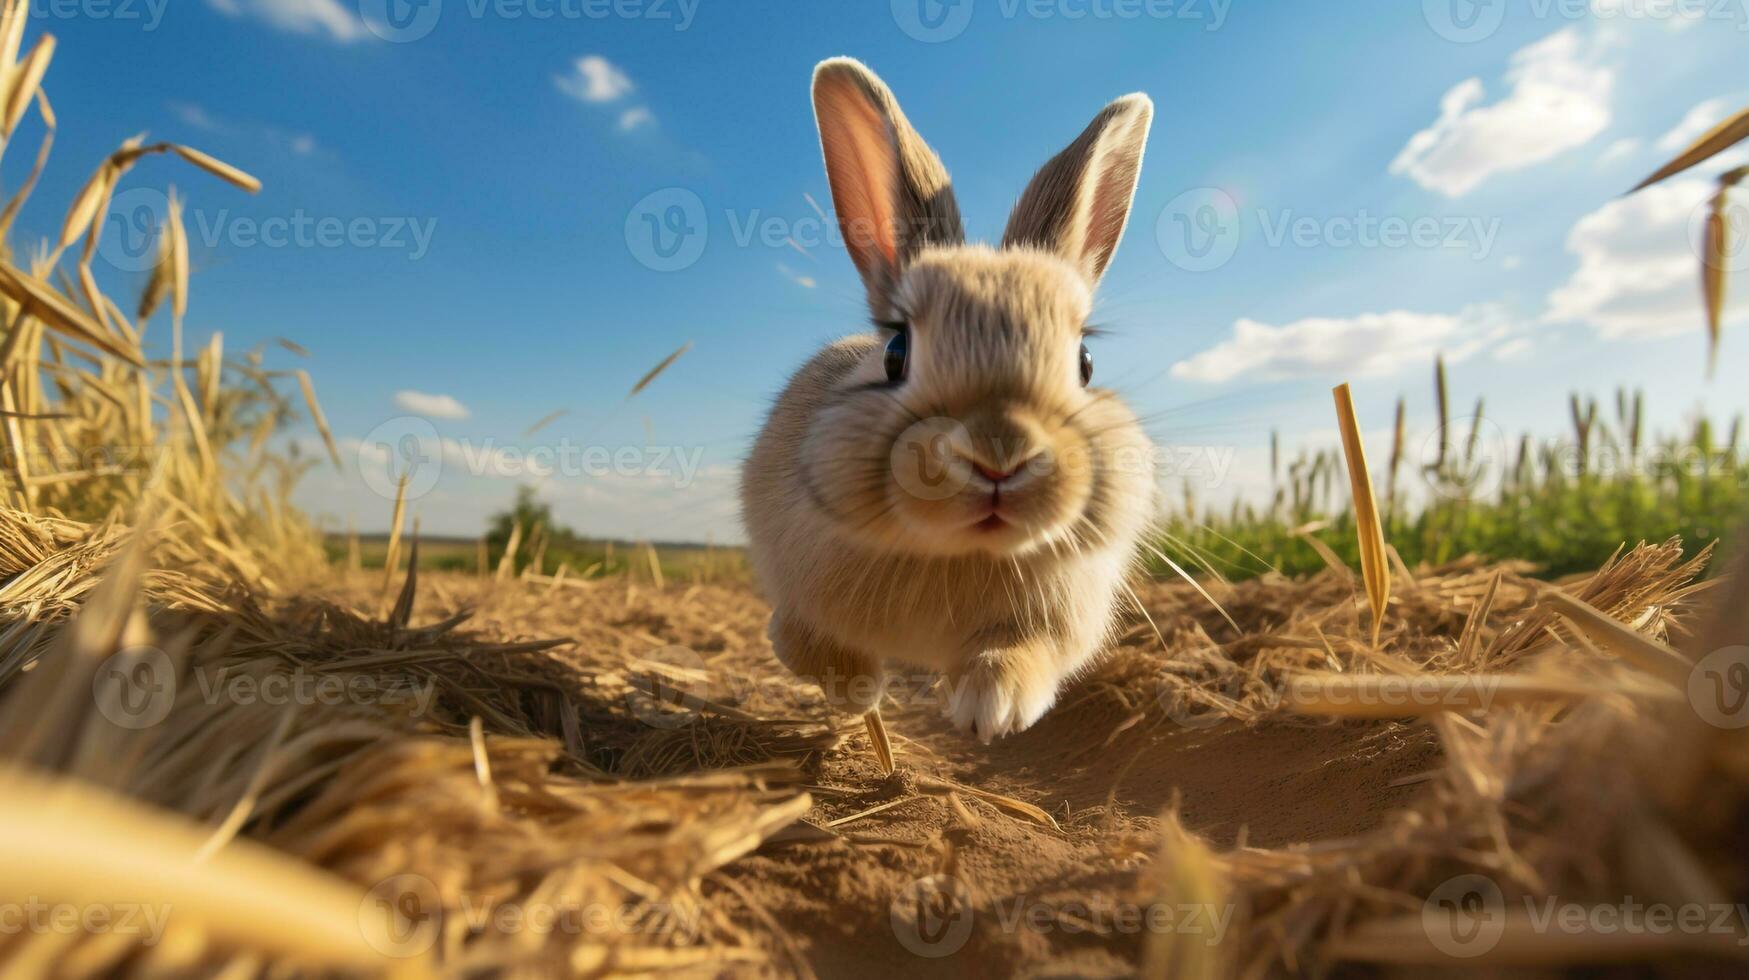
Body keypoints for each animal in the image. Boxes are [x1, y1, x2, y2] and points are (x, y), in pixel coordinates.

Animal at [741, 57, 1161, 738]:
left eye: (1085, 363)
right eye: (896, 352)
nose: (999, 455)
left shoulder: (1061, 616)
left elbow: (1024, 651)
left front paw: (994, 705)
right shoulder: (794, 584)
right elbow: (801, 639)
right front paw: (858, 691)